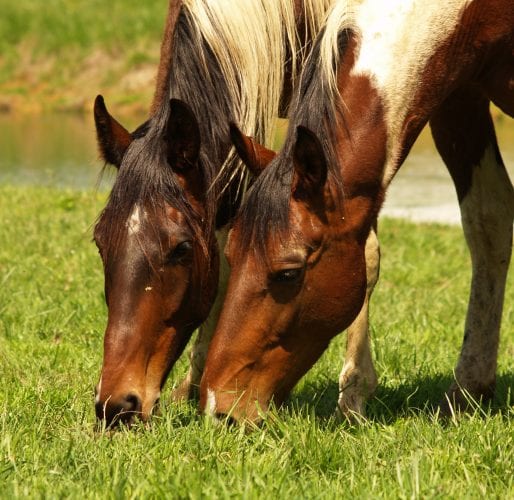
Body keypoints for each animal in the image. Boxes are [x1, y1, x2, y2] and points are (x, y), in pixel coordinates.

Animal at [200, 0, 512, 424]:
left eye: (288, 273)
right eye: (231, 256)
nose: (219, 407)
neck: (473, 13)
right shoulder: (460, 96)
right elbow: (488, 222)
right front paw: (469, 391)